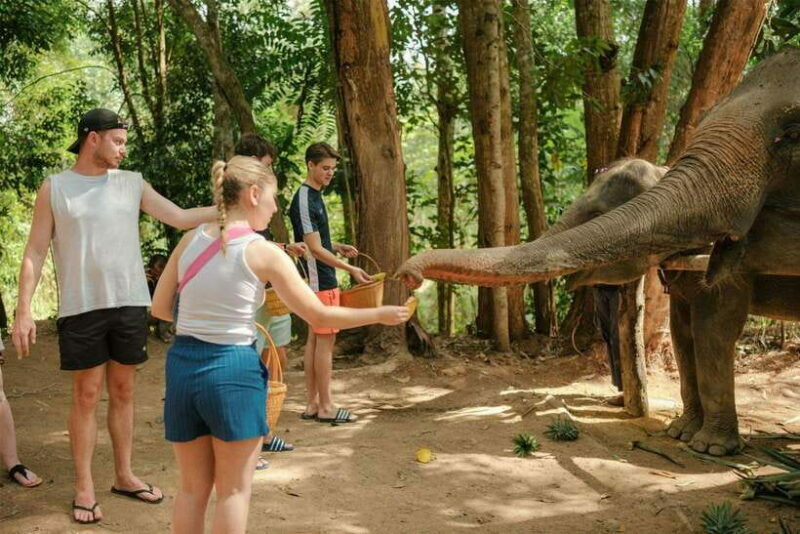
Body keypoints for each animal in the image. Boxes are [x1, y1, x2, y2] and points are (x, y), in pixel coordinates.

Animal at [397, 47, 800, 456]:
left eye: (597, 214)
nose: (407, 274)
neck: (669, 171)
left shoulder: (730, 268)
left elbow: (712, 330)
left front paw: (710, 448)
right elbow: (682, 331)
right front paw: (681, 433)